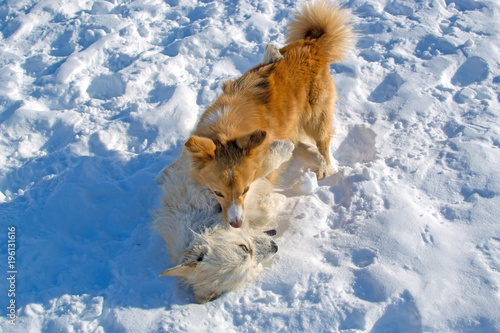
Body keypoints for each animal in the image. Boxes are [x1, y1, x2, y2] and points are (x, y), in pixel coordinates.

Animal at [186, 0, 354, 226]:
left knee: (323, 144)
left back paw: (324, 167)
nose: (236, 223)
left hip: (316, 117)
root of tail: (313, 45)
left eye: (246, 190)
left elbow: (268, 172)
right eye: (218, 193)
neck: (226, 129)